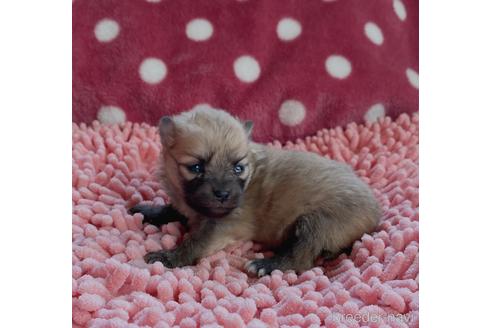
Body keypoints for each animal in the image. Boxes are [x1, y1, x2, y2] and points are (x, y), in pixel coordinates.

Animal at [131, 106, 380, 276]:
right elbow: (172, 209)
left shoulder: (222, 226)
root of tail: (376, 213)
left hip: (316, 223)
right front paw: (149, 211)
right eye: (196, 167)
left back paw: (266, 265)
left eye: (238, 167)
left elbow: (195, 242)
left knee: (301, 257)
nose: (223, 195)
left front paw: (169, 256)